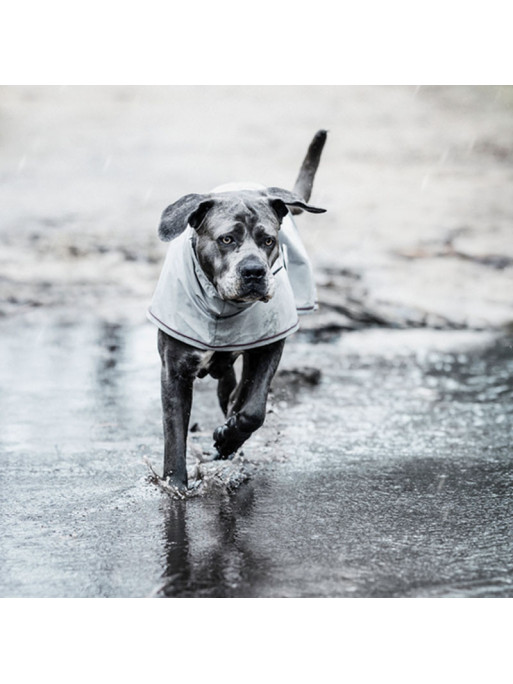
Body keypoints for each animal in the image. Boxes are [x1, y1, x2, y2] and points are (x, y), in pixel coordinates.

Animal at [146, 130, 326, 492]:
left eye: (269, 240)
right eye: (226, 239)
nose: (254, 271)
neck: (221, 306)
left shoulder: (270, 346)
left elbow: (253, 408)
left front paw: (228, 436)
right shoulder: (174, 370)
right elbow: (174, 433)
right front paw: (176, 486)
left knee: (237, 394)